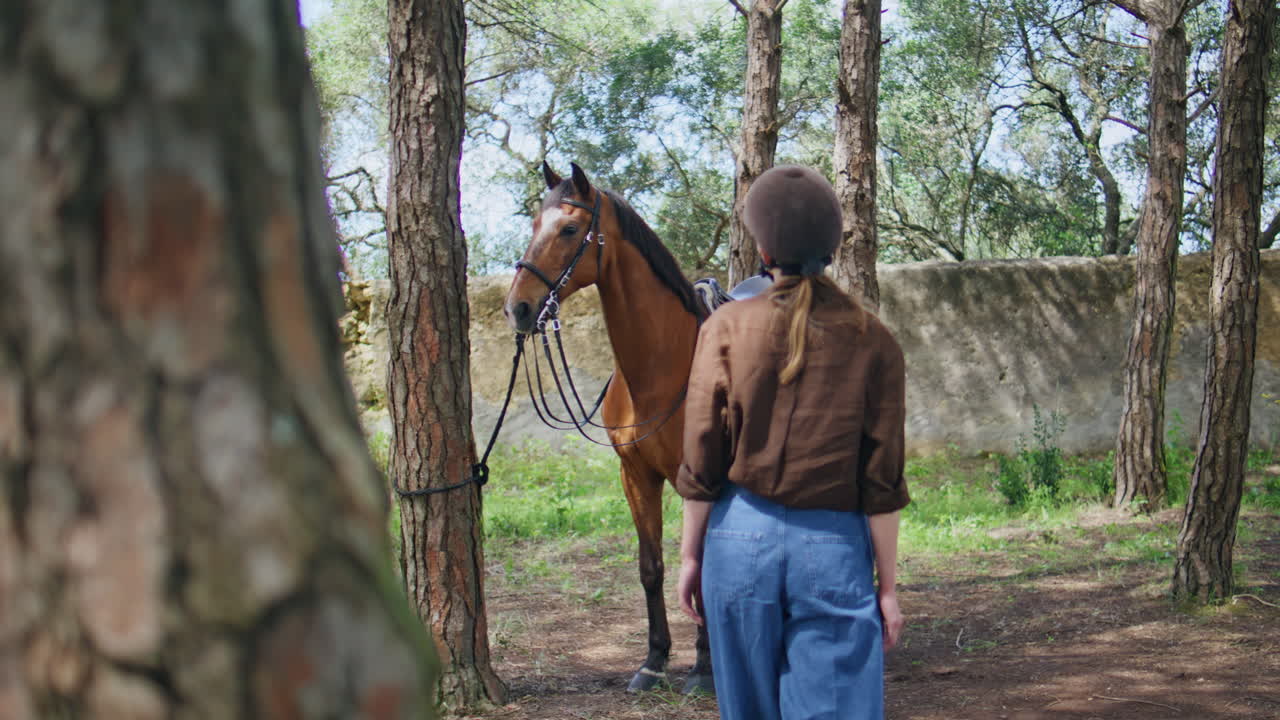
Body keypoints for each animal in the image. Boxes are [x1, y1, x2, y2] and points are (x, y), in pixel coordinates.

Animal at [503, 161, 713, 694]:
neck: (664, 373)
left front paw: (704, 667)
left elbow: (700, 569)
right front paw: (654, 661)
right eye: (534, 225)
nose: (518, 308)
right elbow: (651, 567)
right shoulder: (635, 476)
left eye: (569, 229)